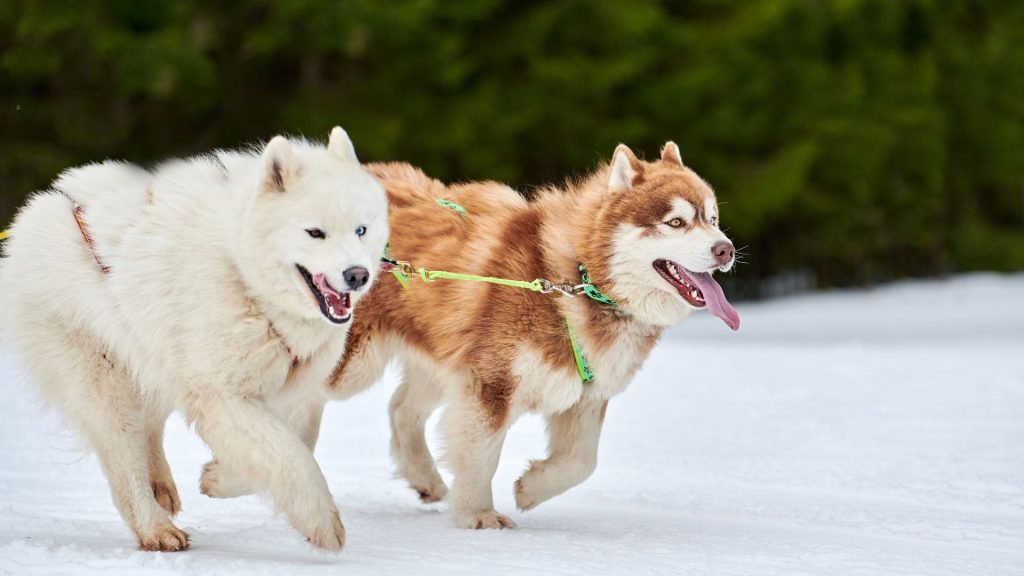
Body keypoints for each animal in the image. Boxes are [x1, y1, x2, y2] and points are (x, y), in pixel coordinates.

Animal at [0, 127, 387, 549]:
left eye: (361, 230)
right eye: (315, 233)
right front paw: (323, 521)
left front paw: (218, 479)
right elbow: (289, 456)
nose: (357, 275)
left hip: (155, 360)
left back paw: (160, 485)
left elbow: (289, 446)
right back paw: (155, 528)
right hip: (105, 383)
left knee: (149, 429)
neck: (245, 279)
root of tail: (34, 215)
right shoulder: (221, 397)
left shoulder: (278, 393)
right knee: (124, 463)